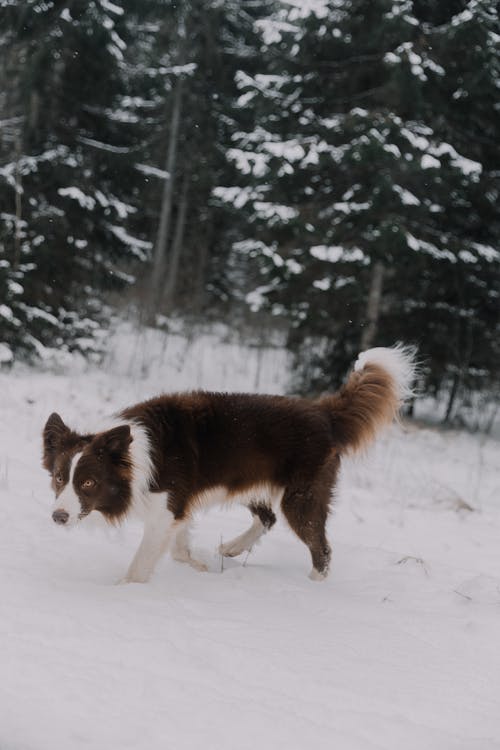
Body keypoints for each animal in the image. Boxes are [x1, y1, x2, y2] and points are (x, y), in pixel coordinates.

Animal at [43, 350, 416, 584]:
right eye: (60, 478)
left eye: (88, 483)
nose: (58, 517)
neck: (135, 458)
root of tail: (323, 413)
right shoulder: (179, 506)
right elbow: (179, 548)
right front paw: (199, 565)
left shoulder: (166, 507)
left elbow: (141, 564)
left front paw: (124, 590)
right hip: (253, 481)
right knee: (267, 517)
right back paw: (233, 548)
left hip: (301, 497)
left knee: (320, 549)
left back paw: (311, 586)